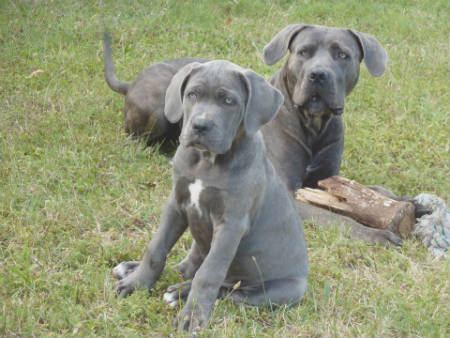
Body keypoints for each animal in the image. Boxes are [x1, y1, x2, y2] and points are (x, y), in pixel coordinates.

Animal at [115, 60, 310, 330]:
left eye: (228, 101)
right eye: (192, 95)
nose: (200, 126)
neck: (206, 161)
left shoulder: (231, 225)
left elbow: (209, 274)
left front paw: (192, 316)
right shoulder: (176, 204)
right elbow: (156, 248)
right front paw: (137, 283)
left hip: (280, 290)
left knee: (228, 289)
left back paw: (179, 293)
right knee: (188, 267)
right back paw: (134, 270)